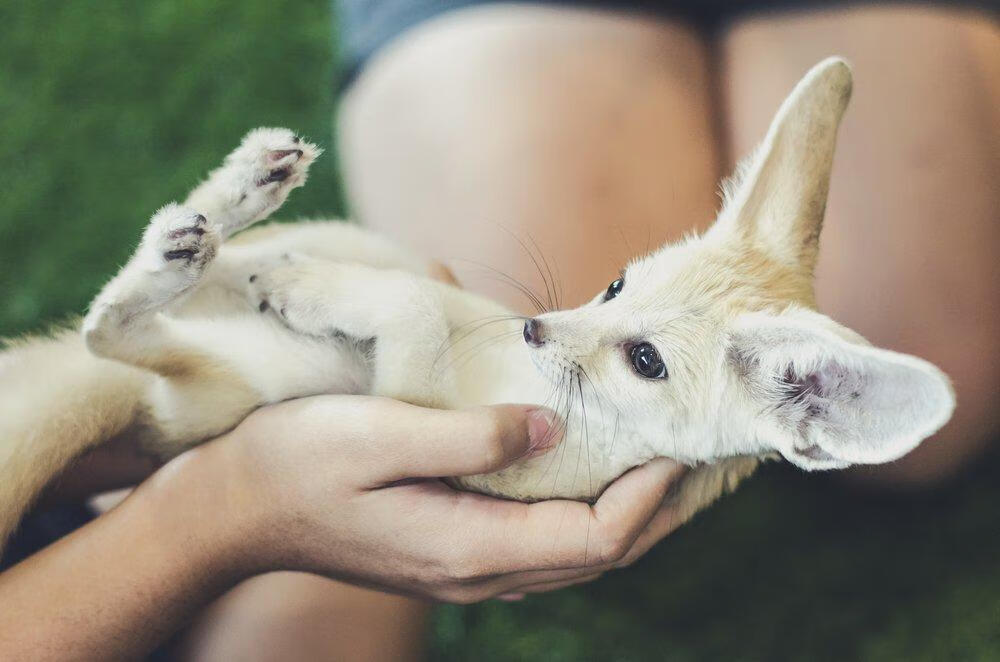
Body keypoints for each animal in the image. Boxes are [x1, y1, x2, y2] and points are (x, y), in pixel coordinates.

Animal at [0, 59, 952, 552]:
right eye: (616, 285)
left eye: (645, 360)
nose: (534, 326)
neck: (511, 378)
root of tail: (156, 417)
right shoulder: (438, 292)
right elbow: (408, 289)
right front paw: (280, 267)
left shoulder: (441, 425)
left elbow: (411, 311)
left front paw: (304, 288)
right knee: (152, 304)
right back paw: (233, 206)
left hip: (211, 395)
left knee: (113, 333)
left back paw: (203, 253)